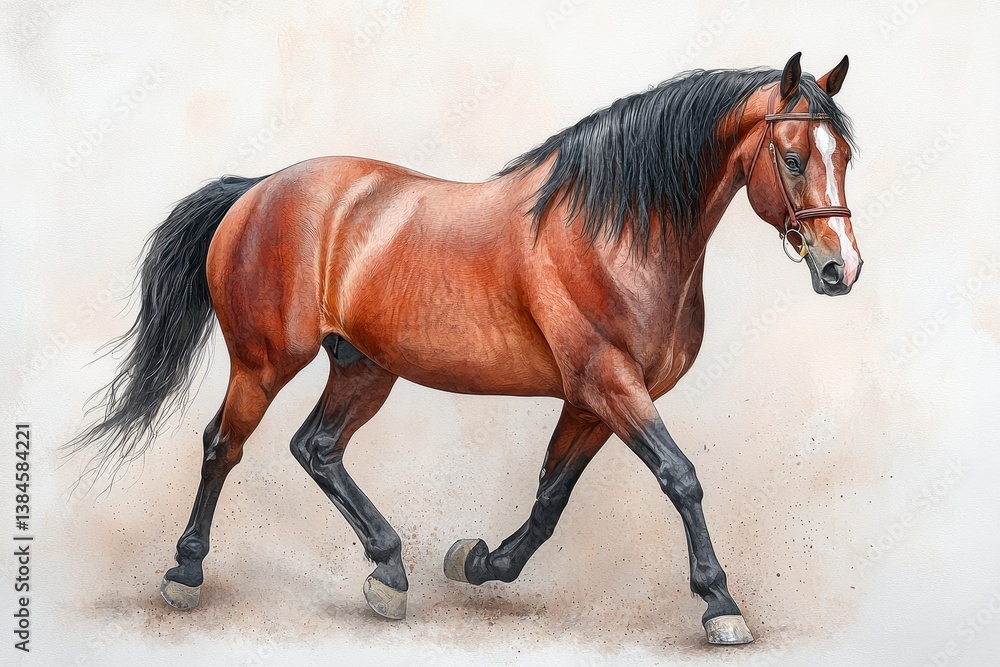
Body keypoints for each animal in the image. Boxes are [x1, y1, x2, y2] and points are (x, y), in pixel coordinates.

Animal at [69, 52, 860, 645]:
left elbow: (550, 496)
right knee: (221, 445)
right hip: (263, 364)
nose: (840, 269)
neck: (618, 233)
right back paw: (184, 574)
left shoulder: (594, 399)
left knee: (316, 448)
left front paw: (480, 563)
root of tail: (257, 190)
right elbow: (681, 477)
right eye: (793, 158)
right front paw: (720, 603)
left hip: (364, 368)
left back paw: (389, 573)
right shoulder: (609, 384)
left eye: (845, 154)